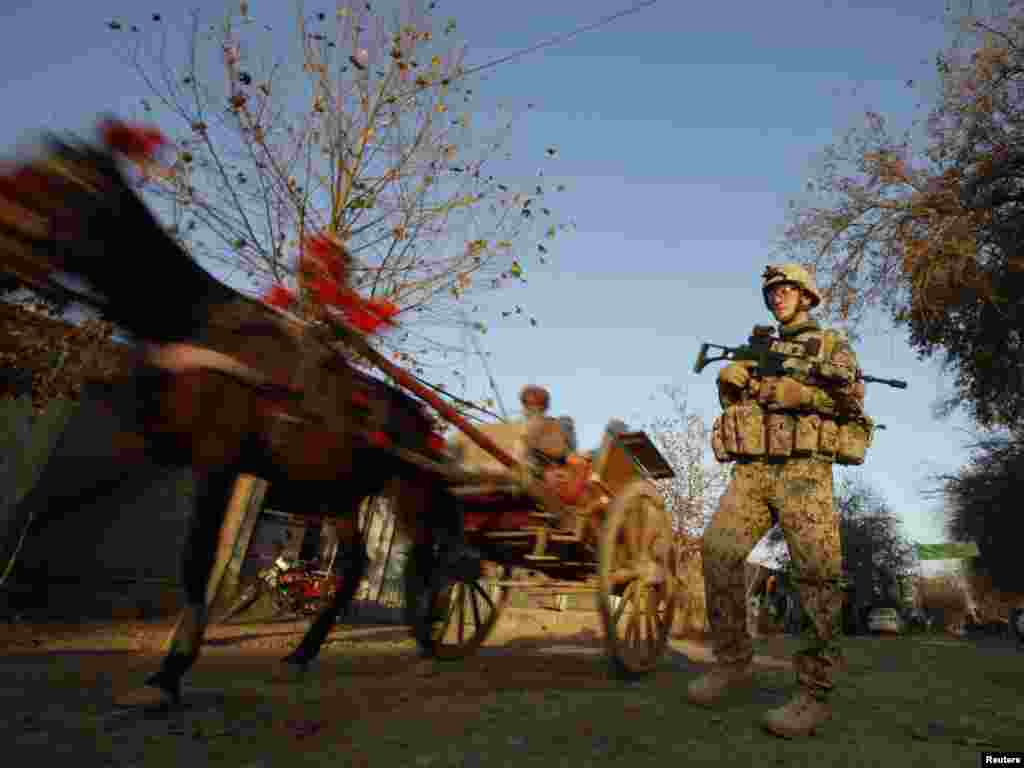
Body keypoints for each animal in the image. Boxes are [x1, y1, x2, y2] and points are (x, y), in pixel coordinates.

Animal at [0, 121, 456, 708]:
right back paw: (304, 651)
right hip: (336, 492)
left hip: (407, 488)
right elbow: (57, 501)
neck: (197, 325)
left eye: (44, 182)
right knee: (356, 566)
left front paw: (172, 669)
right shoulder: (152, 447)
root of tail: (424, 421)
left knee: (426, 558)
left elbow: (197, 558)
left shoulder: (217, 459)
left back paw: (427, 638)